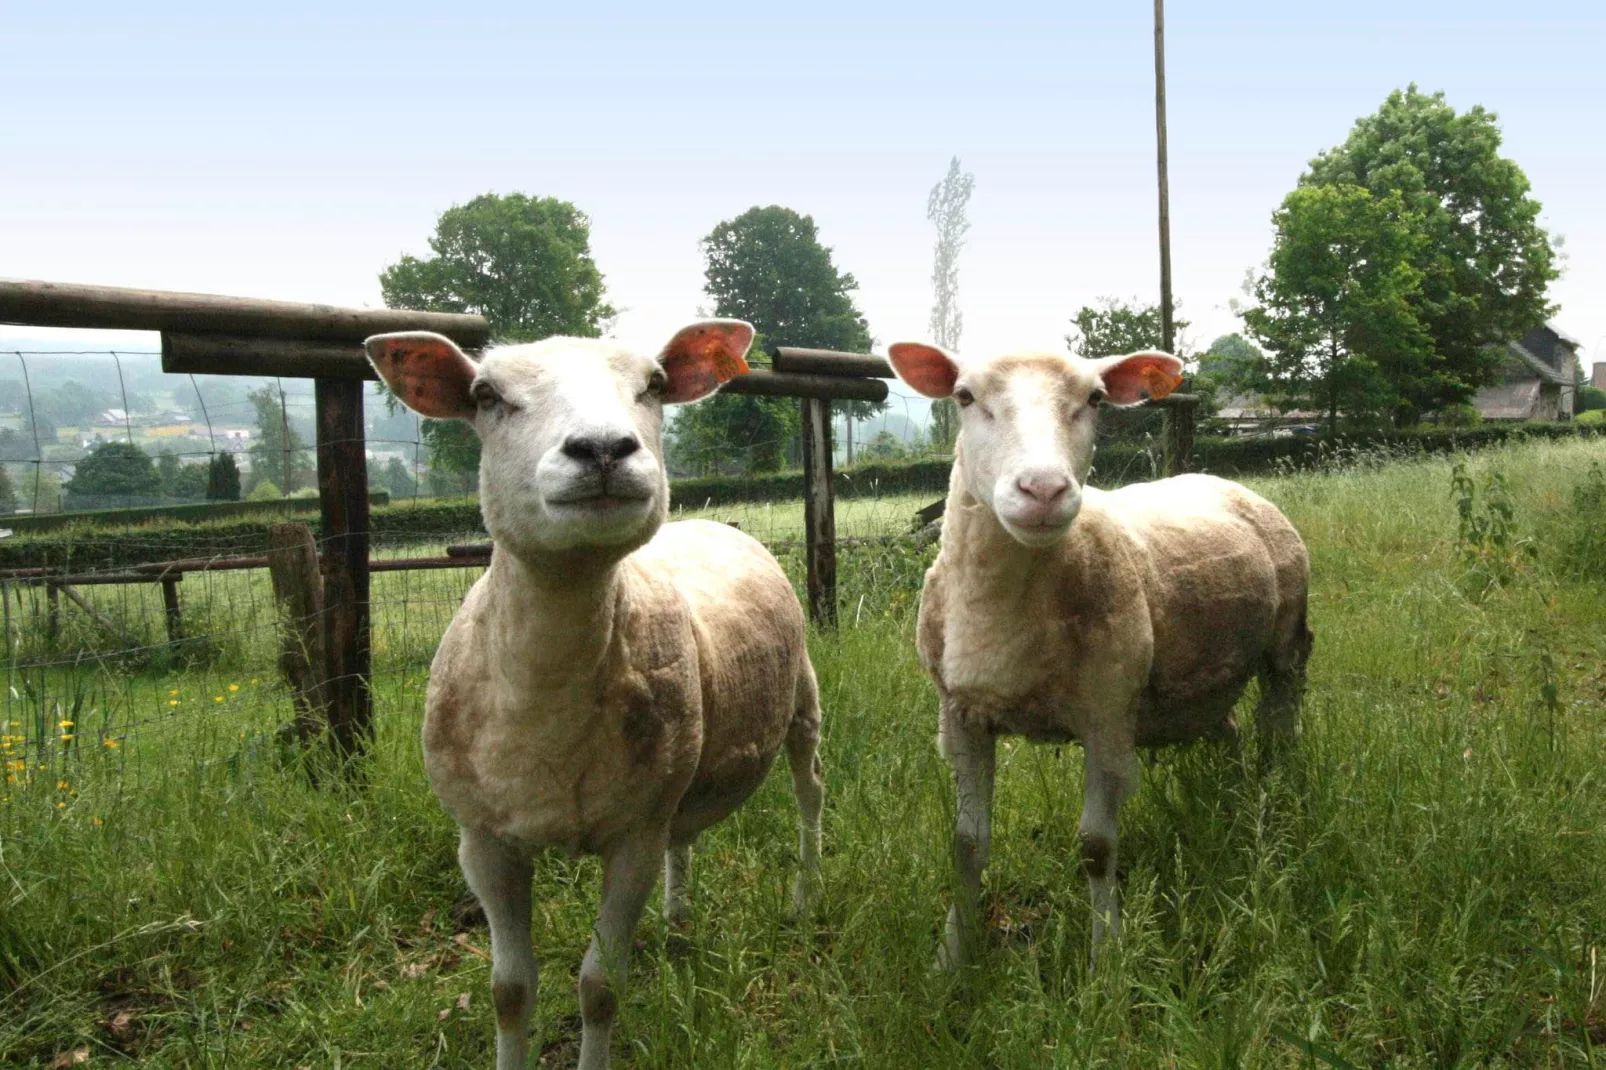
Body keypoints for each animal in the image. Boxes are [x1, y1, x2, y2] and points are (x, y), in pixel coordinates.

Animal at [366, 318, 828, 1066]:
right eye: (485, 395)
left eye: (656, 385)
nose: (604, 449)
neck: (547, 706)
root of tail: (709, 520)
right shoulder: (483, 841)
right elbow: (509, 991)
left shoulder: (632, 838)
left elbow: (600, 986)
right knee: (684, 833)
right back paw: (677, 921)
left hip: (802, 700)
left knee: (809, 790)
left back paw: (805, 894)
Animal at [886, 342, 1310, 963]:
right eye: (963, 396)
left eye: (1095, 399)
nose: (1043, 490)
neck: (1002, 619)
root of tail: (1221, 479)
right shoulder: (959, 715)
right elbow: (966, 845)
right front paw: (952, 958)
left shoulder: (1108, 714)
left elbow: (1096, 846)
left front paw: (1106, 956)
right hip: (1201, 680)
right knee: (1229, 727)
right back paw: (1229, 803)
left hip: (1287, 641)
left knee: (1279, 724)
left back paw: (1274, 802)